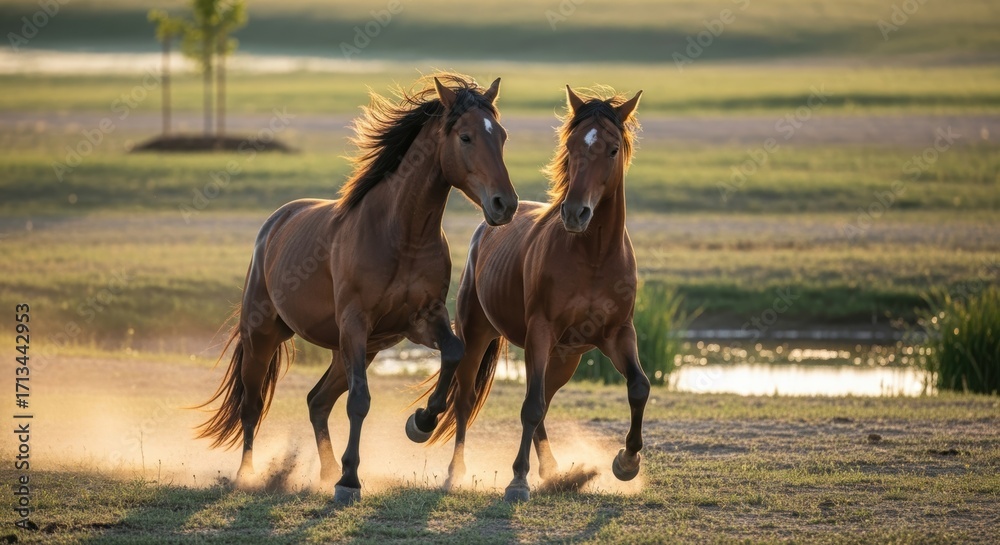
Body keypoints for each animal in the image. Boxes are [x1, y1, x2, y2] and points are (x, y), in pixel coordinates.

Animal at [194, 73, 518, 505]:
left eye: (501, 135)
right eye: (465, 136)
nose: (505, 204)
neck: (401, 234)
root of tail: (277, 221)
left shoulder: (421, 320)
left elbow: (453, 351)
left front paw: (421, 422)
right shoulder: (355, 322)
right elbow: (359, 401)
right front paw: (350, 480)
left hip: (357, 349)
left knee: (317, 401)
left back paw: (326, 469)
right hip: (265, 335)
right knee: (252, 405)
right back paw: (248, 475)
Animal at [408, 85, 647, 502]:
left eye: (613, 149)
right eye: (571, 145)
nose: (575, 213)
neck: (594, 256)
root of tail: (485, 228)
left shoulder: (618, 334)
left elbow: (638, 387)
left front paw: (627, 462)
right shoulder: (540, 332)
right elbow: (529, 407)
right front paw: (517, 480)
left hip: (565, 358)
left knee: (545, 400)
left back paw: (553, 470)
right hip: (478, 336)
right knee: (468, 402)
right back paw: (457, 471)